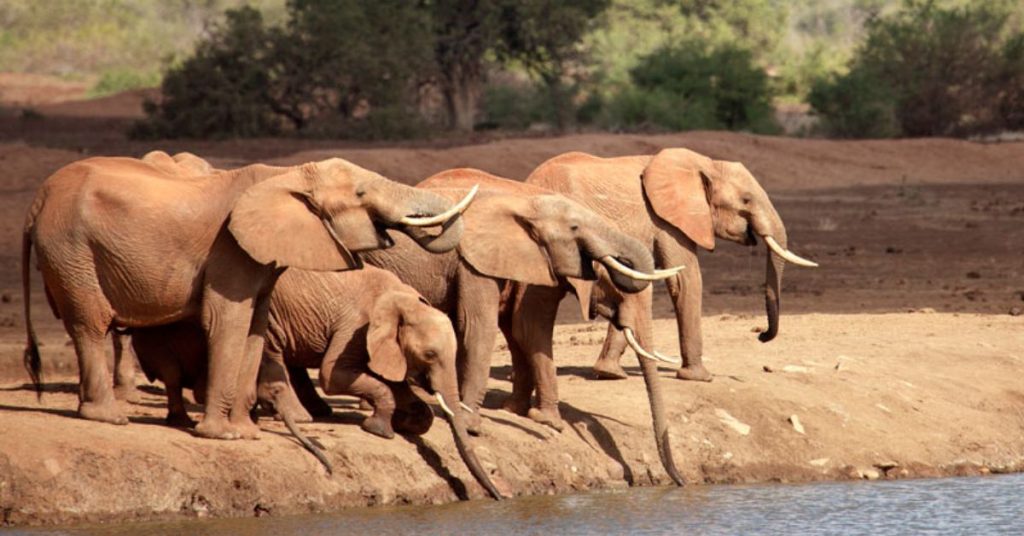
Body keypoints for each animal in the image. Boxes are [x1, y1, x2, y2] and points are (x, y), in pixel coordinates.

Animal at [22, 154, 473, 440]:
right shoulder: (229, 248)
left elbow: (256, 327)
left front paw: (247, 432)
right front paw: (222, 435)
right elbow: (230, 321)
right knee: (90, 323)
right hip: (71, 248)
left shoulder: (260, 256)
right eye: (361, 193)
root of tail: (37, 202)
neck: (286, 175)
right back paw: (109, 418)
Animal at [126, 266, 503, 502]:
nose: (499, 496)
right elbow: (335, 375)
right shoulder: (356, 326)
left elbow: (387, 378)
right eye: (429, 354)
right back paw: (300, 416)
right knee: (273, 351)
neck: (402, 300)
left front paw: (410, 419)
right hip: (266, 311)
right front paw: (381, 429)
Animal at [520, 148, 815, 383]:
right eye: (746, 200)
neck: (705, 164)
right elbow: (686, 279)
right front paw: (700, 378)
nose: (761, 335)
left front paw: (609, 373)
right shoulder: (668, 221)